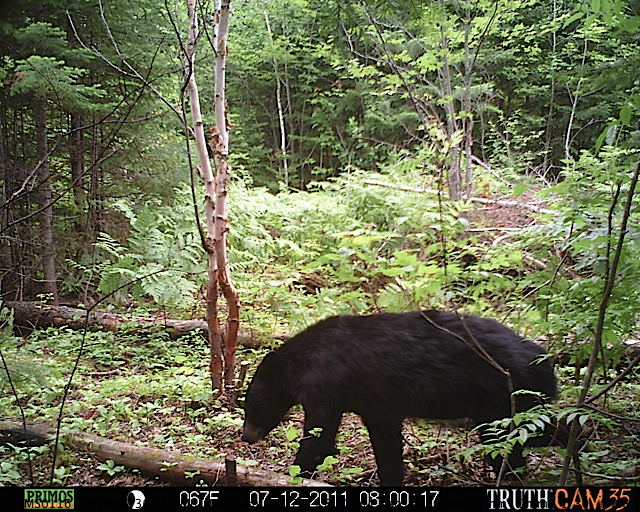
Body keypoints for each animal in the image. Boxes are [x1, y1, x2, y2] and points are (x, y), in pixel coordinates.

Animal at [241, 310, 564, 486]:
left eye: (251, 404)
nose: (246, 437)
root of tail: (545, 359)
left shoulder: (327, 384)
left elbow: (318, 439)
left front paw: (295, 473)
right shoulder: (374, 402)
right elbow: (385, 443)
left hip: (505, 399)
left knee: (520, 437)